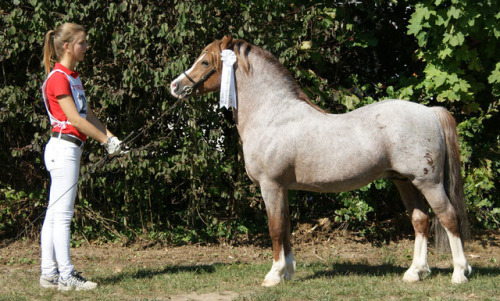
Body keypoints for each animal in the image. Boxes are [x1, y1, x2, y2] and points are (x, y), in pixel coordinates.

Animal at [170, 36, 470, 284]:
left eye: (205, 61)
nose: (175, 86)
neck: (272, 116)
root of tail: (430, 112)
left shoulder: (270, 186)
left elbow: (275, 229)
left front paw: (273, 275)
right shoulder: (282, 189)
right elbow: (286, 227)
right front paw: (288, 272)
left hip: (429, 183)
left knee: (448, 218)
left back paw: (459, 273)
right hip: (404, 182)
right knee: (420, 221)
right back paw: (415, 272)